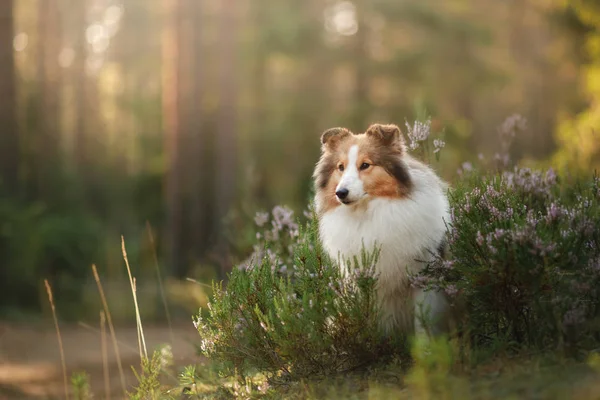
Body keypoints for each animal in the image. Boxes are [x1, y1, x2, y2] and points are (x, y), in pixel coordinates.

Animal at [314, 123, 450, 336]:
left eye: (365, 165)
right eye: (340, 167)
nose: (340, 193)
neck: (368, 214)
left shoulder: (422, 279)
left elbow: (423, 323)